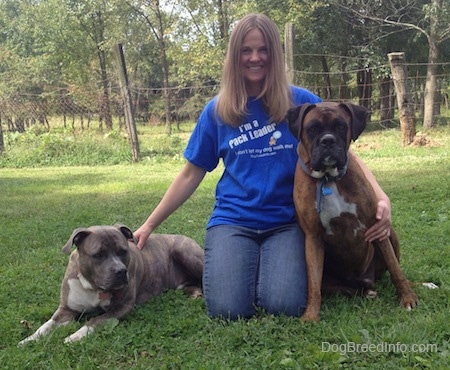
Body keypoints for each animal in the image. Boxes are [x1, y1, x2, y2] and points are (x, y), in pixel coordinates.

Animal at [18, 224, 202, 346]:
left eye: (123, 251)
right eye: (98, 254)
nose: (121, 271)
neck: (93, 287)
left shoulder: (122, 308)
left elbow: (96, 320)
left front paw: (75, 336)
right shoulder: (66, 310)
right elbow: (47, 325)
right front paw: (29, 339)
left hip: (186, 253)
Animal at [288, 102, 418, 322]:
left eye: (341, 126)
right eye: (312, 128)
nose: (328, 140)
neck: (329, 179)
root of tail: (364, 280)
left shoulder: (376, 227)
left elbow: (395, 269)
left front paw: (407, 298)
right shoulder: (313, 238)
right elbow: (313, 284)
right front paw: (311, 316)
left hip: (389, 233)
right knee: (345, 289)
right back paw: (365, 292)